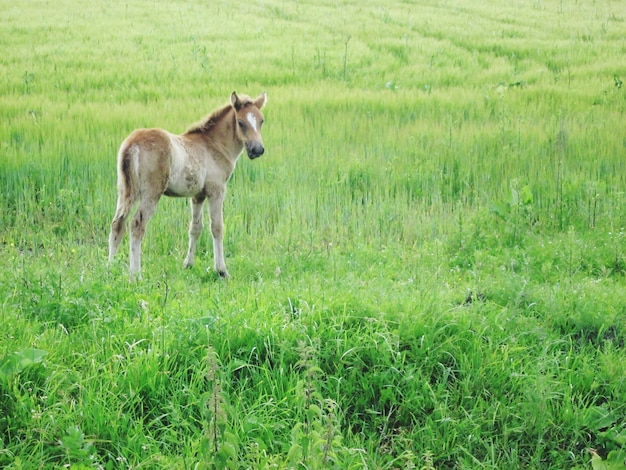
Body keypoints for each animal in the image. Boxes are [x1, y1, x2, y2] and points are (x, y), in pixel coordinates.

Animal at [108, 90, 264, 278]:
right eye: (240, 123)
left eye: (261, 121)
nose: (257, 149)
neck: (214, 145)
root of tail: (132, 144)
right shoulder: (216, 190)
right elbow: (217, 227)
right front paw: (221, 271)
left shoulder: (197, 196)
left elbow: (195, 228)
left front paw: (188, 265)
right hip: (151, 193)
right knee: (137, 225)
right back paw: (135, 274)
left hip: (125, 191)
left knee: (117, 224)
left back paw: (109, 268)